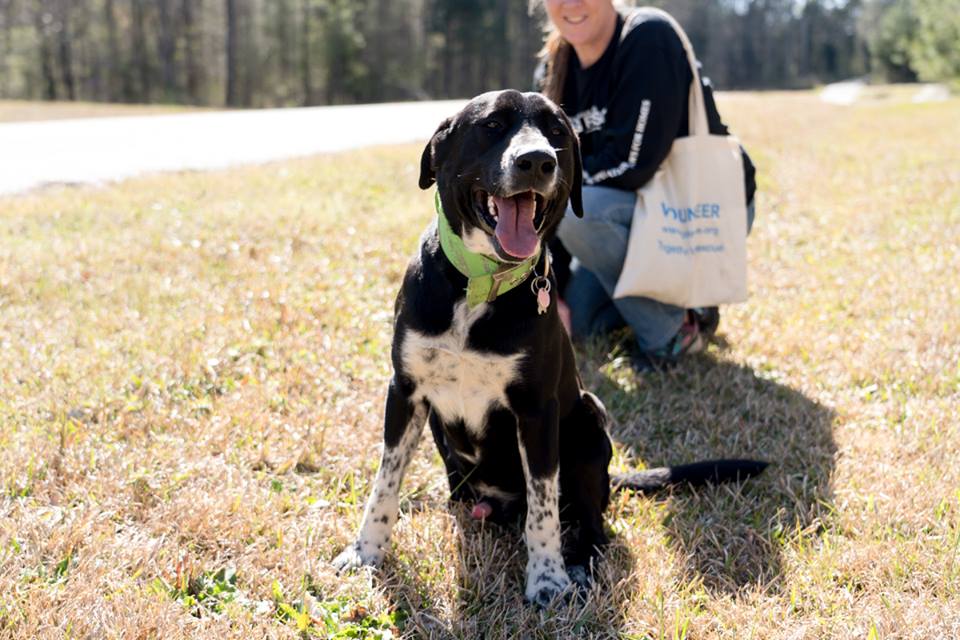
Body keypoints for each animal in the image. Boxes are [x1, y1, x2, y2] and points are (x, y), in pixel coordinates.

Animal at [332, 90, 766, 606]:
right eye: (492, 124)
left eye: (557, 132)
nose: (537, 161)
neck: (478, 286)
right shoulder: (405, 391)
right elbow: (385, 482)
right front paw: (366, 552)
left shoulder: (537, 410)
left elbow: (543, 506)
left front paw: (547, 578)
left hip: (589, 420)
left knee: (590, 521)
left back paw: (578, 560)